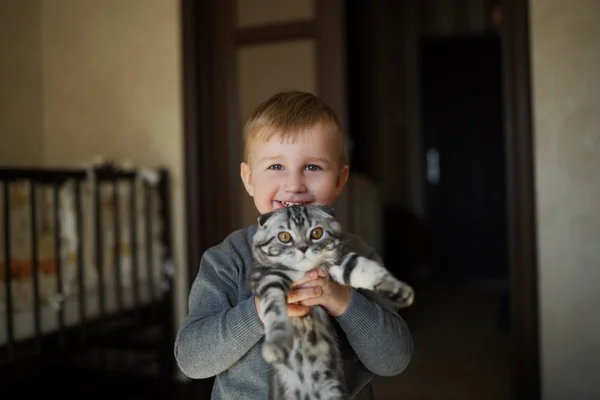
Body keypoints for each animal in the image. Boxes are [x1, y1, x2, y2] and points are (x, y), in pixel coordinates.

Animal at [247, 205, 412, 398]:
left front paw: (399, 289)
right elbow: (275, 311)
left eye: (316, 233)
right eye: (284, 237)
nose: (303, 248)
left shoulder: (339, 263)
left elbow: (365, 267)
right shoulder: (269, 278)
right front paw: (276, 344)